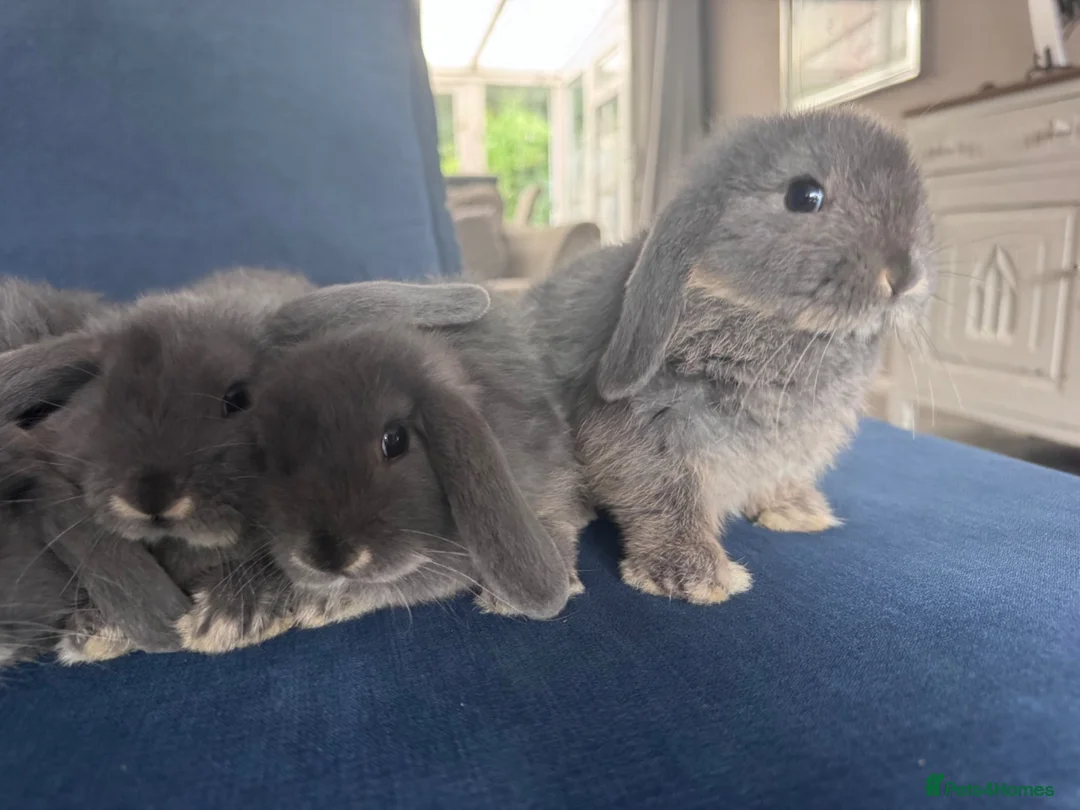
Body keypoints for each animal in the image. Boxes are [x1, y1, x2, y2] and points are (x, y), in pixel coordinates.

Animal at [524, 107, 935, 604]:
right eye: (804, 195)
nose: (904, 276)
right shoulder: (653, 432)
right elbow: (665, 498)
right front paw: (695, 576)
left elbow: (778, 476)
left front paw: (796, 513)